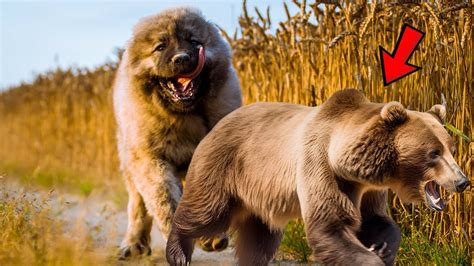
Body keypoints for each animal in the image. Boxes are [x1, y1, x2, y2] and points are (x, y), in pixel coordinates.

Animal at [113, 7, 243, 258]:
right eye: (160, 46)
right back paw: (133, 243)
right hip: (130, 162)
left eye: (194, 41)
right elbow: (164, 199)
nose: (182, 58)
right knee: (137, 205)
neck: (184, 117)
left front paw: (210, 235)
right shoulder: (151, 160)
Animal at [165, 90, 468, 266]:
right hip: (225, 166)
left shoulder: (369, 188)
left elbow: (376, 220)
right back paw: (178, 252)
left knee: (260, 237)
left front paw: (382, 247)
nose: (462, 181)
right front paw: (371, 256)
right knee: (206, 211)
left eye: (451, 149)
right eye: (433, 153)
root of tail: (218, 123)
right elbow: (331, 224)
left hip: (259, 193)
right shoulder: (321, 165)